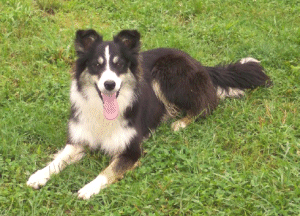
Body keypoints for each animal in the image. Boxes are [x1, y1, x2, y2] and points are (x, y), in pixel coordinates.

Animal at [27, 28, 270, 199]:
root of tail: (198, 62)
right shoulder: (79, 140)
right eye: (97, 65)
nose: (109, 84)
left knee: (208, 103)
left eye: (119, 65)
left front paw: (88, 188)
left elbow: (108, 171)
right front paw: (39, 175)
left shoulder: (132, 151)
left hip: (167, 73)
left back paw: (181, 122)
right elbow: (59, 159)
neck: (103, 112)